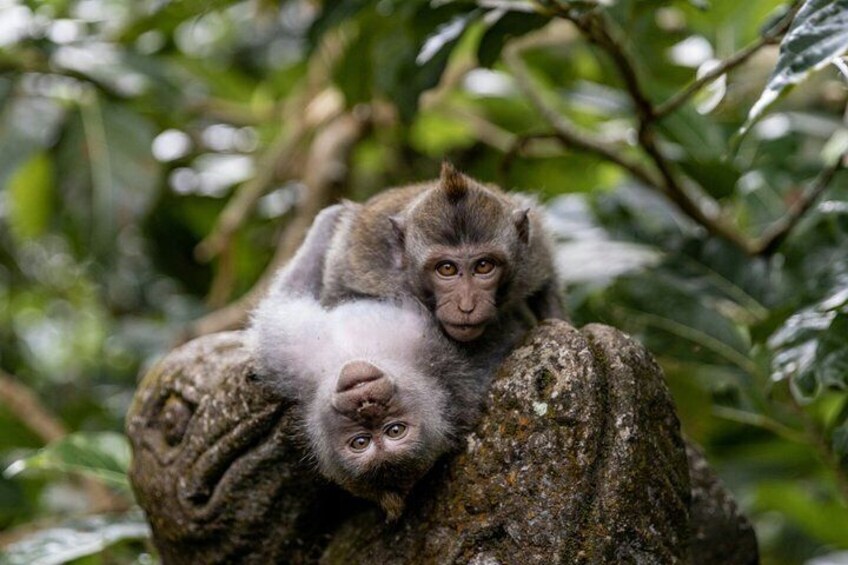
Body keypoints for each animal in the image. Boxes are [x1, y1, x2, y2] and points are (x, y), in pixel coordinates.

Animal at [246, 205, 491, 519]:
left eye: (394, 431)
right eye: (360, 442)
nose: (366, 404)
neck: (353, 353)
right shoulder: (284, 356)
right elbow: (288, 293)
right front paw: (332, 218)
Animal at [320, 162, 564, 359]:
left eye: (483, 266)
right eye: (447, 269)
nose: (466, 306)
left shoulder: (534, 253)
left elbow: (547, 288)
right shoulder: (365, 262)